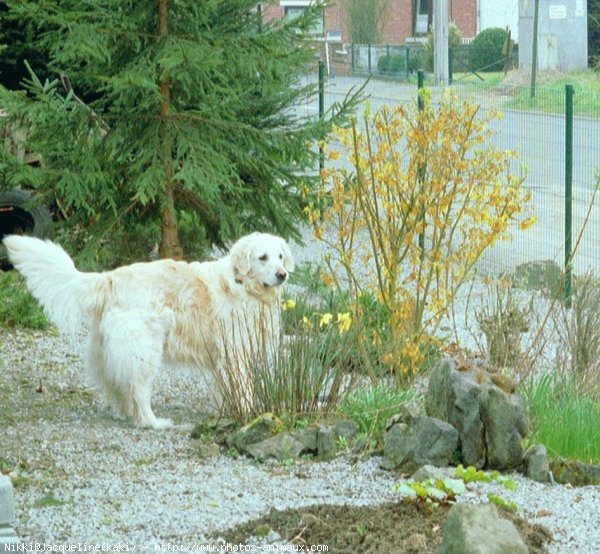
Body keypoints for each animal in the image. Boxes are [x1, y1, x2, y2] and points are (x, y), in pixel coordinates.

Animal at [3, 232, 294, 426]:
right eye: (262, 257)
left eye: (280, 256)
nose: (282, 274)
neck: (243, 285)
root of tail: (111, 278)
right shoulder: (235, 352)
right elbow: (243, 388)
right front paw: (249, 414)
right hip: (146, 349)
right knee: (138, 389)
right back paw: (153, 422)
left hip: (112, 351)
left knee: (118, 384)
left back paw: (126, 414)